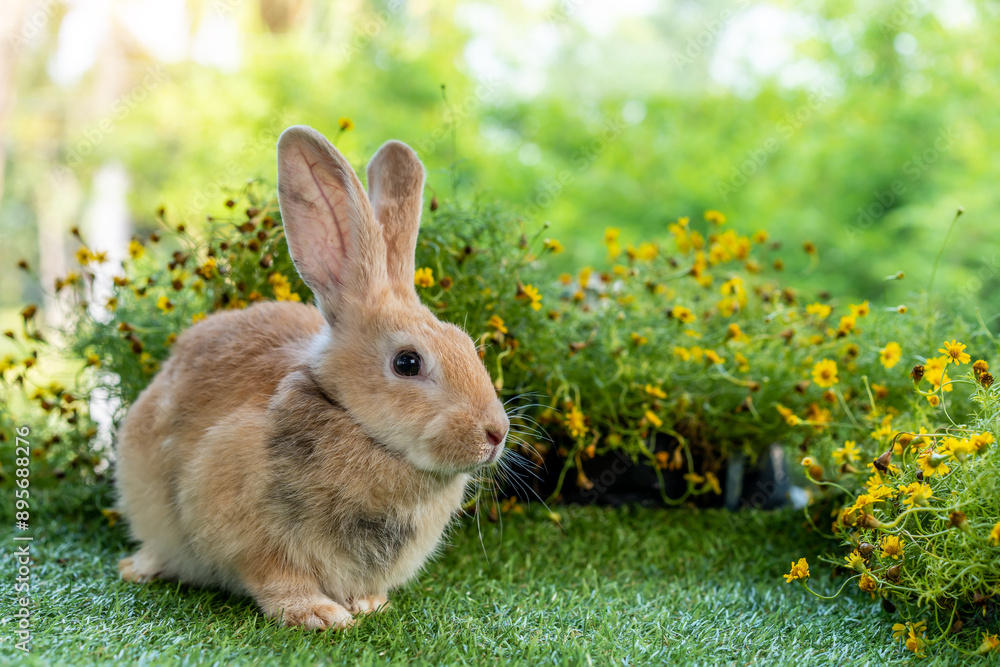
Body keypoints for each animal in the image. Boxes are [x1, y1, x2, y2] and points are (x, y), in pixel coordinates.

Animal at [114, 125, 510, 630]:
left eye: (466, 344)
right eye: (407, 363)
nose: (496, 433)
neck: (357, 425)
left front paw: (370, 605)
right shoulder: (250, 536)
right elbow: (277, 577)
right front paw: (320, 615)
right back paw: (139, 568)